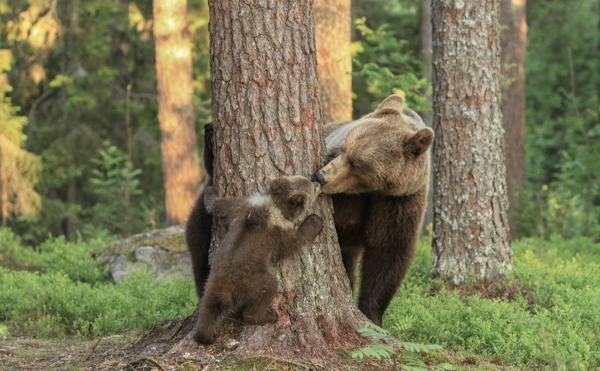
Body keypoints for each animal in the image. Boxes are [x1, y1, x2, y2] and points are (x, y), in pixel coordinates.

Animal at [192, 177, 324, 346]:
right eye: (312, 188)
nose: (318, 182)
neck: (275, 207)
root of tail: (227, 287)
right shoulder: (275, 232)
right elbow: (289, 246)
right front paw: (314, 222)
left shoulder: (242, 209)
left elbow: (220, 206)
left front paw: (211, 191)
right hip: (252, 281)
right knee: (267, 289)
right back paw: (268, 315)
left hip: (211, 281)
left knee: (208, 308)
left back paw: (205, 335)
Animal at [312, 94, 434, 326]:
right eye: (344, 147)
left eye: (357, 163)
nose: (321, 177)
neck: (370, 191)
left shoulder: (398, 203)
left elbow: (388, 254)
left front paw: (371, 316)